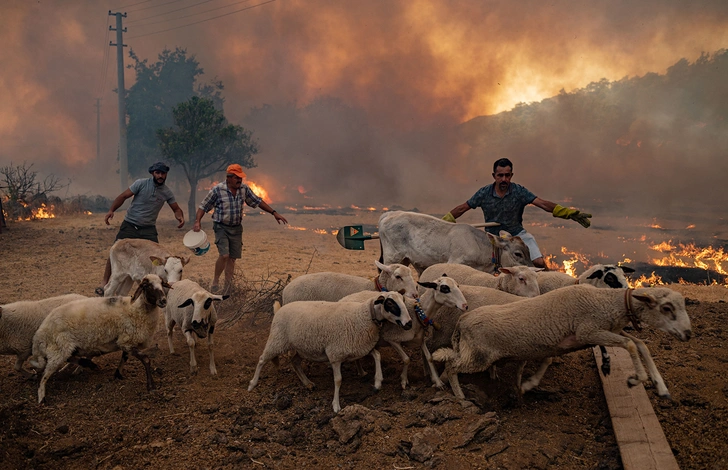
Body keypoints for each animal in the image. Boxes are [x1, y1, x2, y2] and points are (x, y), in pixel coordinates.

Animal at [29, 274, 171, 402]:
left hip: (65, 347)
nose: (163, 301)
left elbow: (124, 357)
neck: (136, 309)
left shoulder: (126, 340)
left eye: (162, 284)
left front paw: (118, 374)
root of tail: (41, 332)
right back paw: (42, 397)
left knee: (70, 357)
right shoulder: (126, 341)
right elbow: (146, 359)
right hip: (59, 347)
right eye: (147, 286)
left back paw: (88, 364)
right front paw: (151, 387)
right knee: (45, 375)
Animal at [249, 292, 410, 414]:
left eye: (403, 301)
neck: (364, 315)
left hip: (302, 347)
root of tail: (279, 309)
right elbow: (338, 380)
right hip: (277, 340)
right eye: (390, 304)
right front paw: (336, 406)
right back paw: (252, 384)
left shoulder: (359, 346)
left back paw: (308, 383)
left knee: (294, 361)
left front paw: (377, 382)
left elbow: (377, 355)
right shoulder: (335, 354)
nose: (409, 324)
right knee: (262, 359)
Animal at [340, 276, 470, 390]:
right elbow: (407, 359)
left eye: (457, 285)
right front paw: (403, 381)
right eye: (444, 288)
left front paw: (438, 382)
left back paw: (361, 372)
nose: (465, 306)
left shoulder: (420, 340)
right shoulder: (392, 339)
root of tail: (345, 298)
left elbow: (429, 358)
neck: (417, 314)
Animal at [432, 286, 692, 400]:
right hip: (479, 355)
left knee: (449, 362)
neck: (607, 302)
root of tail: (463, 320)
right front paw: (635, 379)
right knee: (452, 365)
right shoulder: (589, 332)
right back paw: (460, 396)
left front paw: (661, 386)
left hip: (473, 352)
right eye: (666, 308)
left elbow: (640, 344)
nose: (688, 333)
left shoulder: (587, 336)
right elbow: (629, 345)